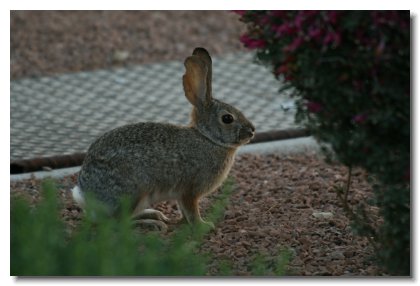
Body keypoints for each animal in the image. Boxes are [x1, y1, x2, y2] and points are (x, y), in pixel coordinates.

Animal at [71, 47, 256, 230]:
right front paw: (204, 225)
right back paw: (151, 223)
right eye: (227, 118)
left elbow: (183, 210)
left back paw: (154, 215)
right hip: (133, 193)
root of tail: (87, 195)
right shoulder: (190, 189)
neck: (208, 138)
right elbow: (191, 210)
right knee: (116, 223)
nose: (252, 131)